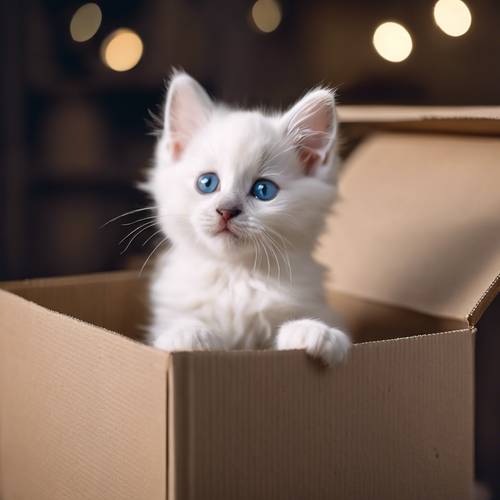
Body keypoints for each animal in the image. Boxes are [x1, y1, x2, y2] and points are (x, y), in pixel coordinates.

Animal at [143, 71, 350, 364]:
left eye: (263, 190)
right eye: (207, 183)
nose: (226, 210)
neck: (236, 276)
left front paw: (315, 331)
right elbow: (176, 327)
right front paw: (189, 335)